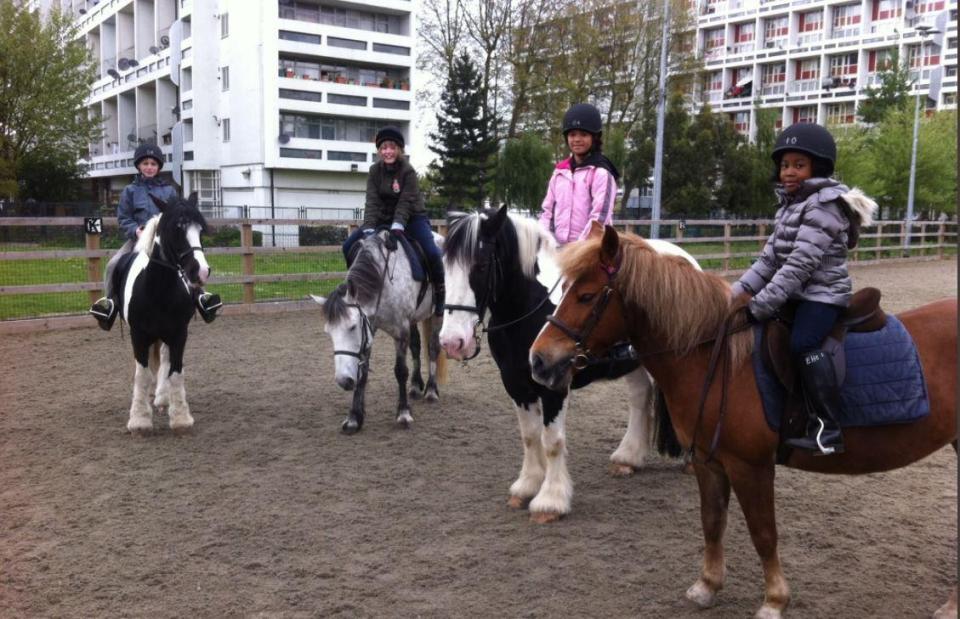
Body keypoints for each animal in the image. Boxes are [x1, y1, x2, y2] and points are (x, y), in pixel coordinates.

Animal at [115, 191, 211, 434]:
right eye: (176, 229)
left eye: (200, 230)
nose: (201, 272)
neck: (158, 291)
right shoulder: (138, 335)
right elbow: (141, 374)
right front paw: (139, 420)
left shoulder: (179, 334)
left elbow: (175, 372)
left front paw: (181, 417)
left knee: (165, 361)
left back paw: (162, 397)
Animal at [314, 230, 448, 434]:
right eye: (329, 332)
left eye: (352, 327)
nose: (343, 381)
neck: (382, 280)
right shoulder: (370, 329)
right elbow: (362, 372)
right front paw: (354, 418)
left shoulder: (401, 331)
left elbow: (400, 371)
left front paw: (403, 413)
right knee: (416, 346)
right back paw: (416, 386)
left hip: (437, 315)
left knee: (433, 347)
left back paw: (431, 390)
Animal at [438, 208, 700, 524]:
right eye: (444, 266)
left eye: (481, 265)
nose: (452, 342)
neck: (531, 307)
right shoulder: (515, 384)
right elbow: (530, 436)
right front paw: (527, 486)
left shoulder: (554, 384)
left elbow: (552, 441)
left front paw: (550, 501)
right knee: (640, 397)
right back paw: (628, 458)